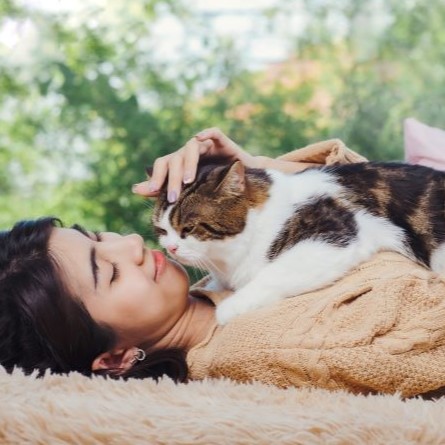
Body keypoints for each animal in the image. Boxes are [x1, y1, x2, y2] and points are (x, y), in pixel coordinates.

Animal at [150, 159, 444, 322]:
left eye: (188, 228)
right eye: (161, 230)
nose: (171, 248)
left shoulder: (336, 233)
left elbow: (271, 274)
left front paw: (228, 308)